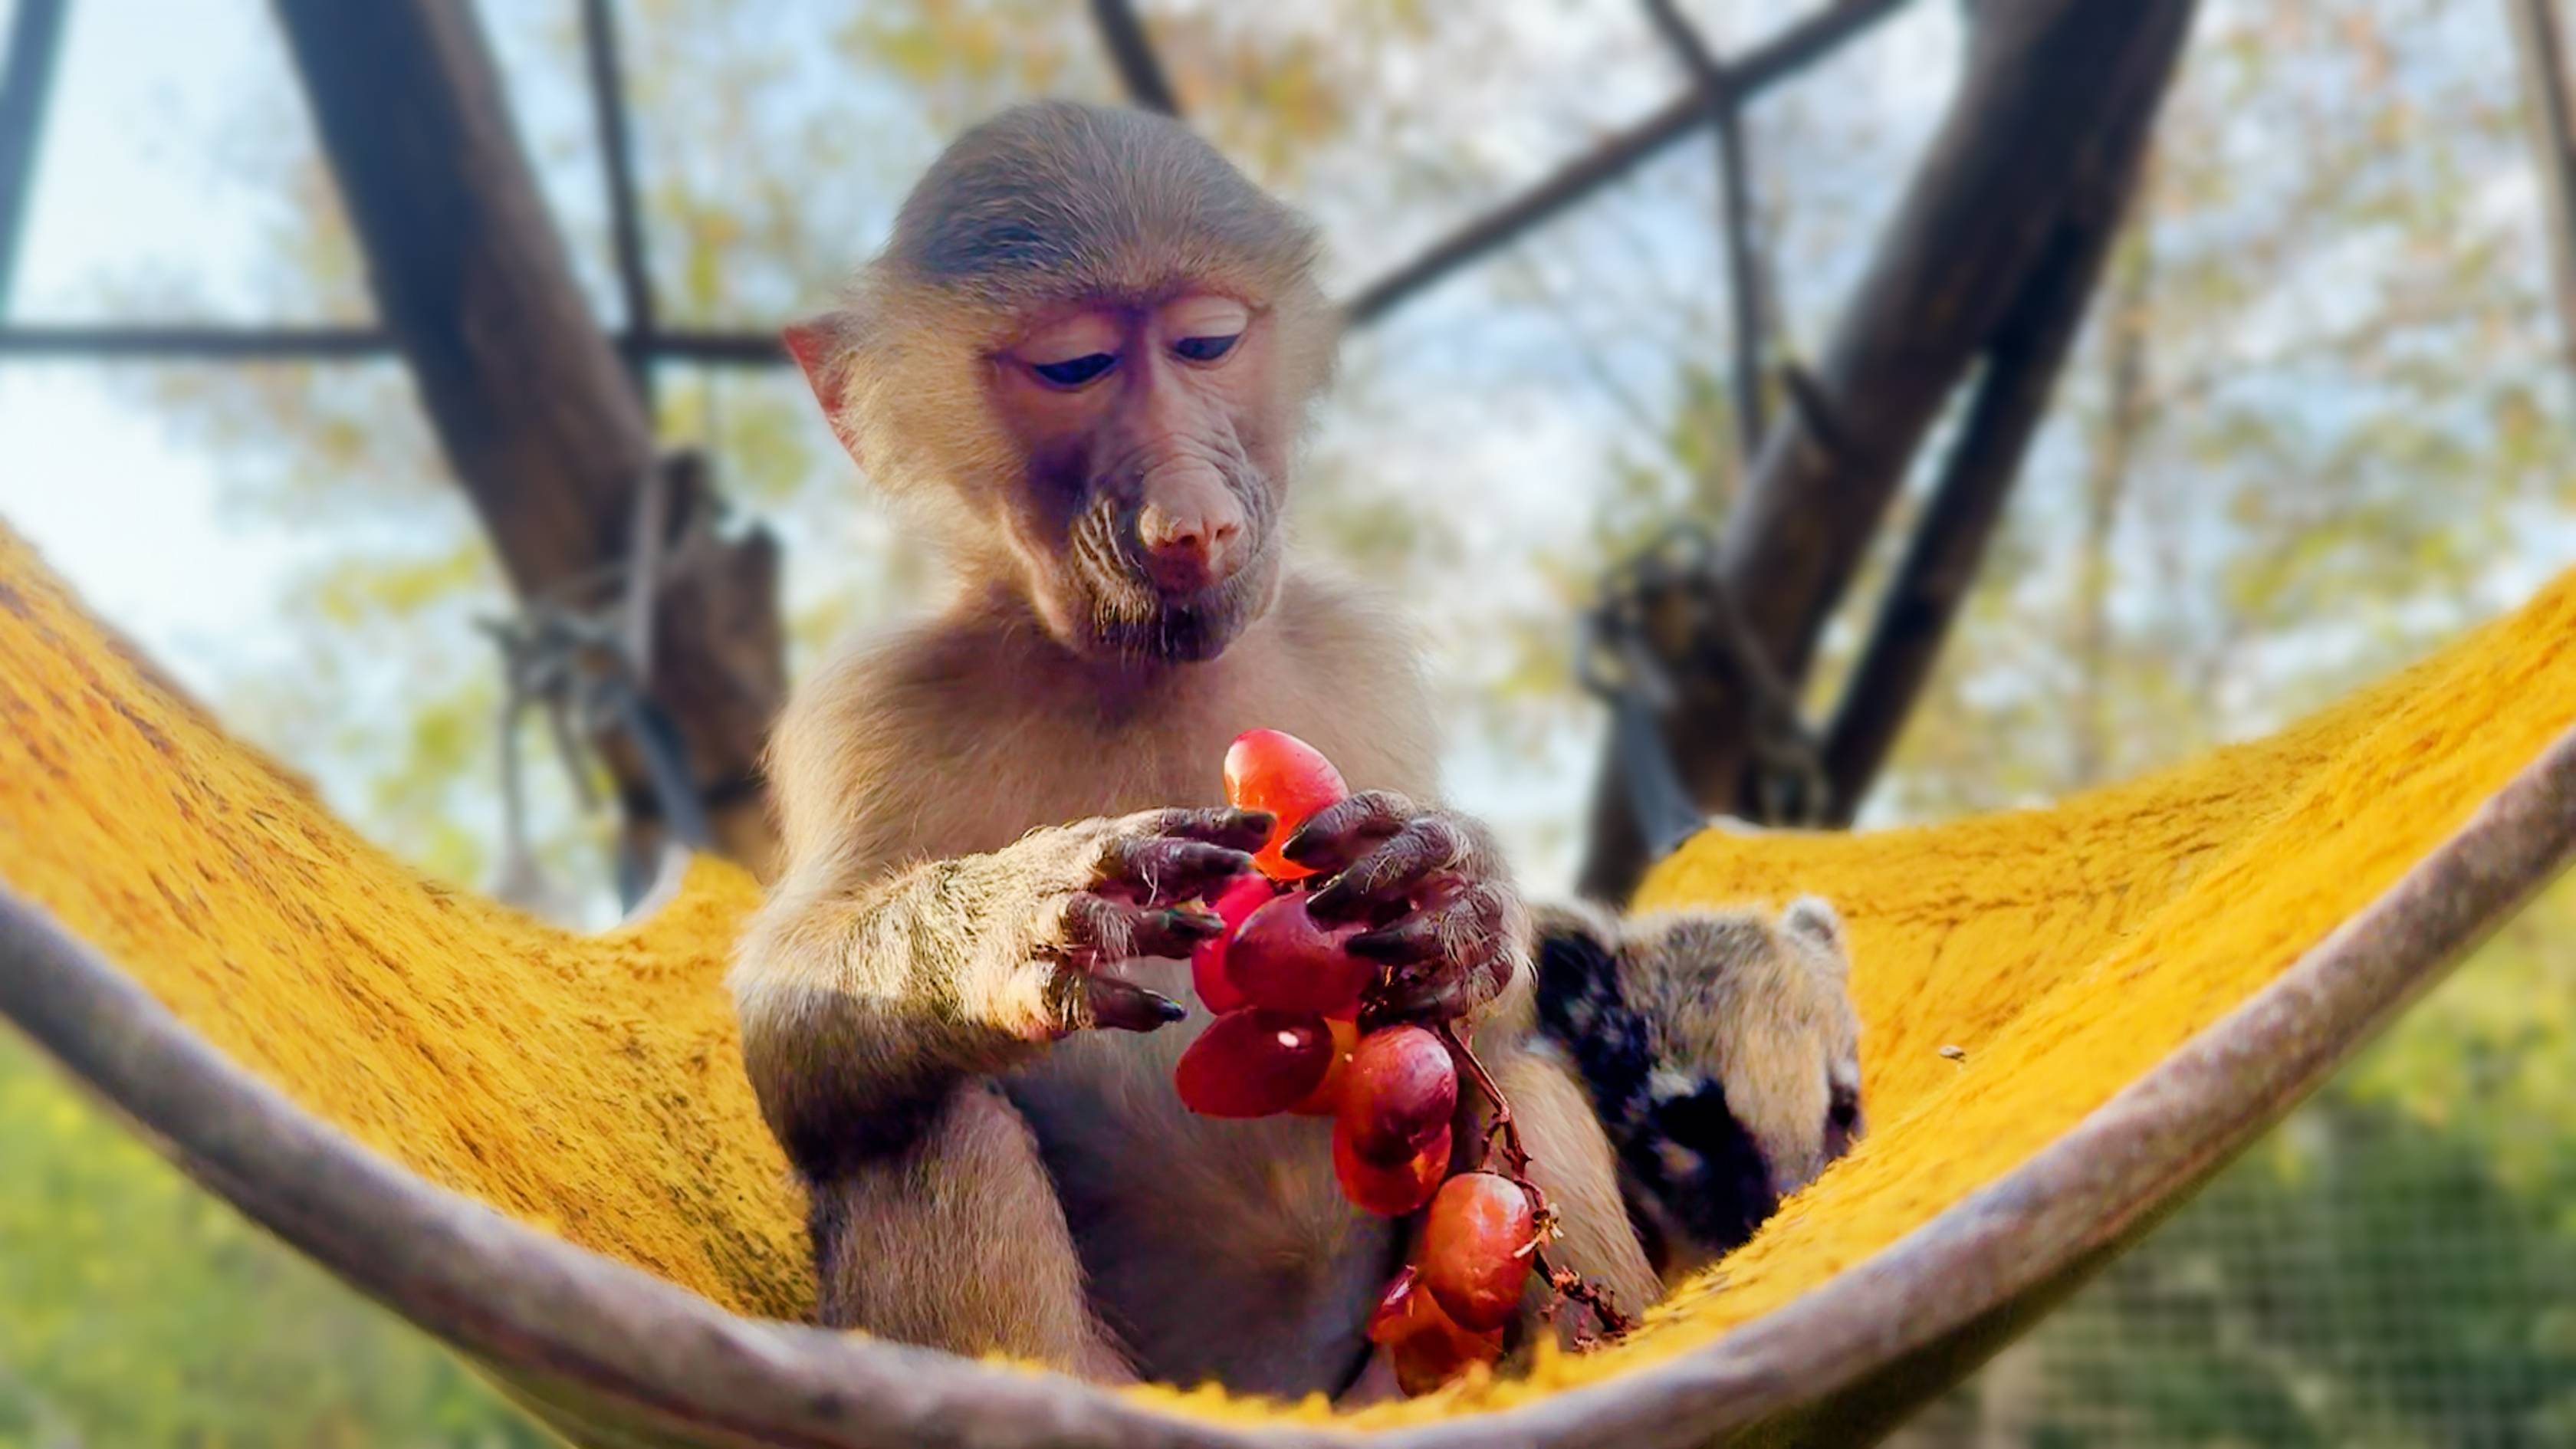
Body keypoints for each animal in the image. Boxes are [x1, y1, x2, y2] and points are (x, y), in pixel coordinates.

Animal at [726, 96, 1658, 1392]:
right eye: (1074, 367)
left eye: (1208, 342)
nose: (1195, 524)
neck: (1133, 669)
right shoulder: (865, 709)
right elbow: (788, 1030)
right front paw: (1015, 919)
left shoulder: (1355, 647)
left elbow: (1495, 995)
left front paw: (1454, 892)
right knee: (929, 1128)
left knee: (1518, 1073)